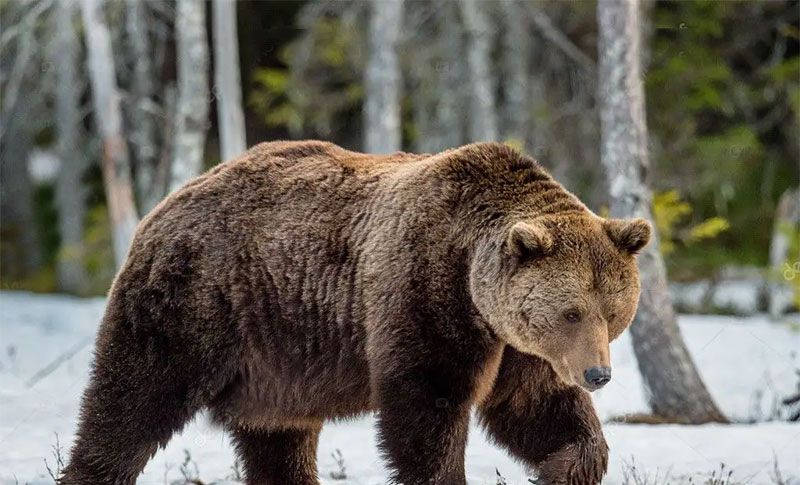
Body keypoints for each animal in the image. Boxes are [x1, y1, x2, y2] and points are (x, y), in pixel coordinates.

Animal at [62, 140, 648, 484]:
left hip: (275, 363)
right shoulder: (422, 294)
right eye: (571, 311)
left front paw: (559, 468)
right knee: (132, 401)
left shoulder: (516, 348)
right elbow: (426, 410)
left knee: (277, 439)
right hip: (195, 304)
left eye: (613, 311)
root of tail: (166, 202)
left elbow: (539, 409)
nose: (598, 374)